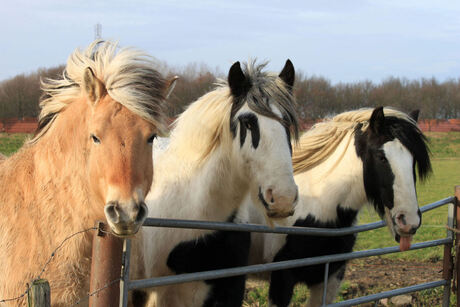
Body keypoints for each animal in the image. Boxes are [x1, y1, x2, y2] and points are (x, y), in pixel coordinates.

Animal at [239, 106, 434, 307]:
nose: (409, 221)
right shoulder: (282, 278)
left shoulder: (331, 277)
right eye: (381, 157)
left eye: (413, 160)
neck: (318, 203)